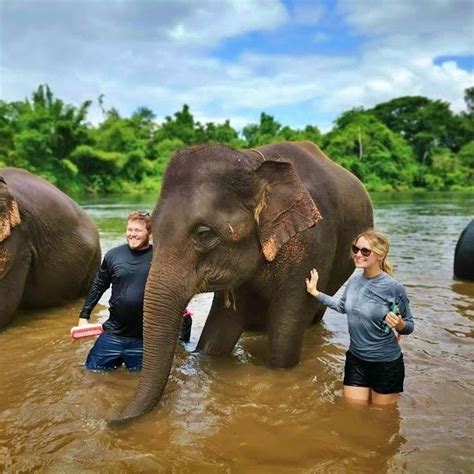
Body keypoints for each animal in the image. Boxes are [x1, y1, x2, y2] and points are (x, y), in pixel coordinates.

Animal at [115, 140, 374, 422]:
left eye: (204, 234)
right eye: (153, 229)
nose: (113, 418)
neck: (251, 162)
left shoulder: (312, 247)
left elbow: (284, 345)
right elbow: (218, 332)